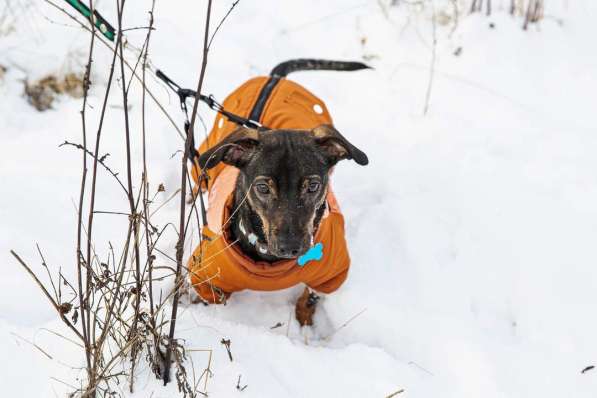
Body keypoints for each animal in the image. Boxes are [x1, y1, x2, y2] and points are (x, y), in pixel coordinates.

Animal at [189, 59, 368, 326]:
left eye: (313, 186)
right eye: (263, 187)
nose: (290, 247)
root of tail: (274, 79)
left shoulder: (331, 273)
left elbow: (309, 297)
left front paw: (304, 323)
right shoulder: (207, 276)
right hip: (204, 155)